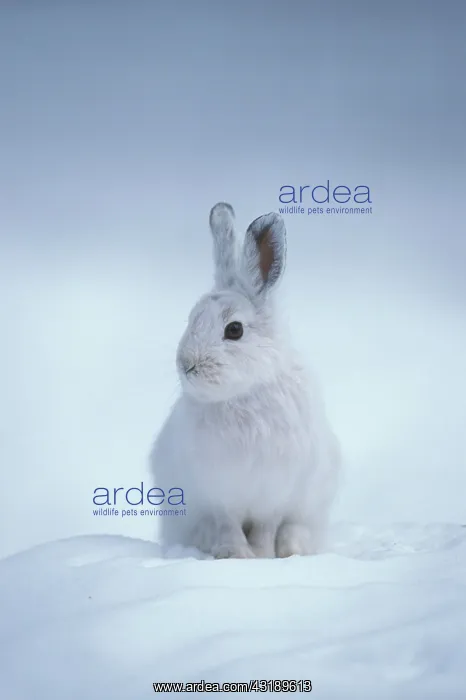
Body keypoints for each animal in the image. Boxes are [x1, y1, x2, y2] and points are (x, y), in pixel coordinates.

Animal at [150, 202, 341, 559]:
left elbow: (265, 527)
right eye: (191, 319)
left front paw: (261, 556)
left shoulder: (274, 494)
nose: (187, 364)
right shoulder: (218, 492)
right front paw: (235, 555)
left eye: (234, 330)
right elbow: (227, 524)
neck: (242, 395)